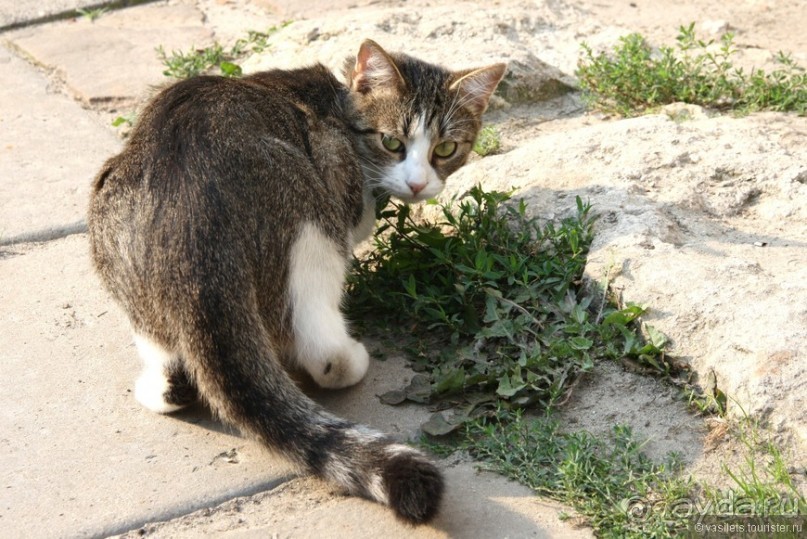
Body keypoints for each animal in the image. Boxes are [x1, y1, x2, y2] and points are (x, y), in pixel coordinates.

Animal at [88, 39, 504, 528]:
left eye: (446, 148)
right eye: (392, 142)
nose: (418, 185)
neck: (340, 102)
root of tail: (192, 227)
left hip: (107, 227)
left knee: (171, 367)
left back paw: (158, 384)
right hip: (308, 218)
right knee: (322, 349)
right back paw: (348, 358)